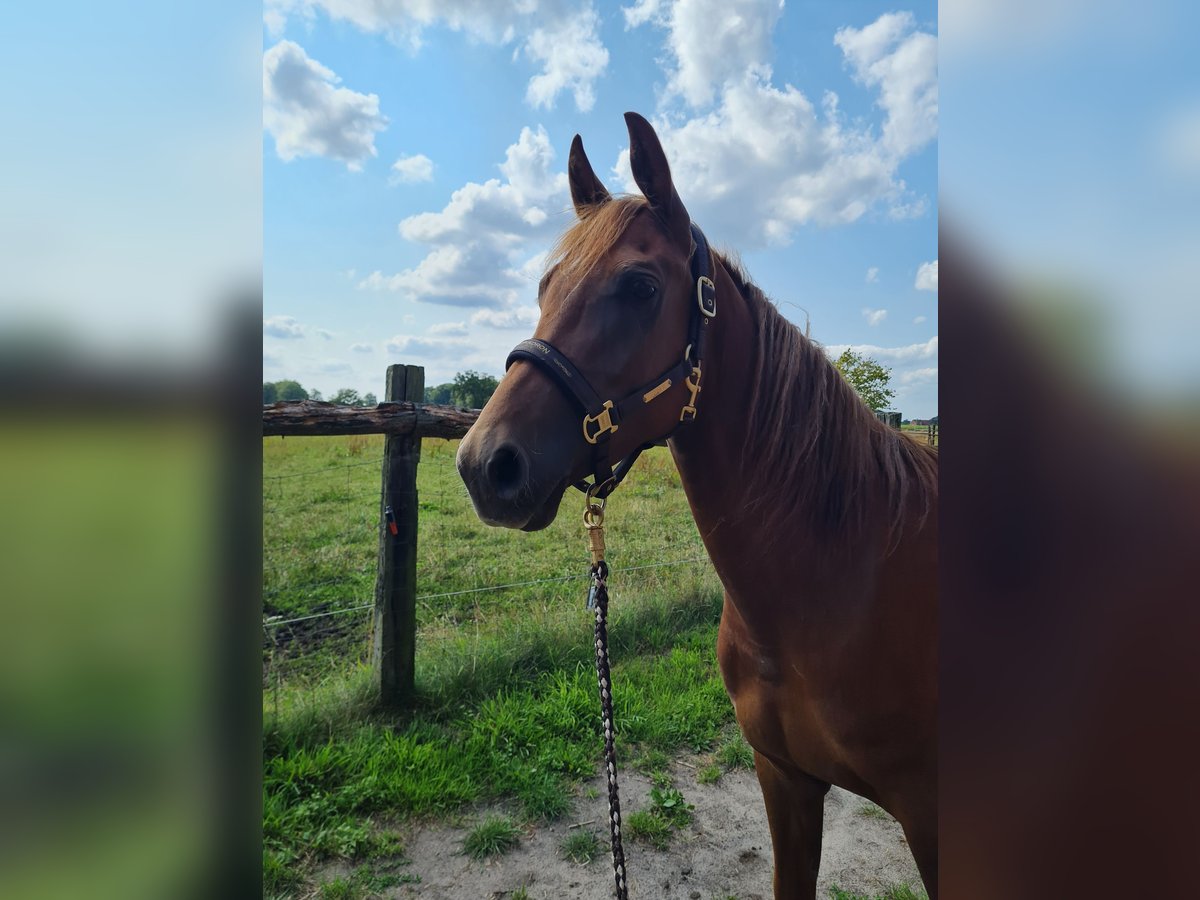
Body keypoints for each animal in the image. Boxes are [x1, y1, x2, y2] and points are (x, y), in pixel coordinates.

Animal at [457, 112, 938, 899]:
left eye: (640, 286)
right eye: (545, 284)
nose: (483, 464)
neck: (844, 581)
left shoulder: (933, 818)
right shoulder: (785, 781)